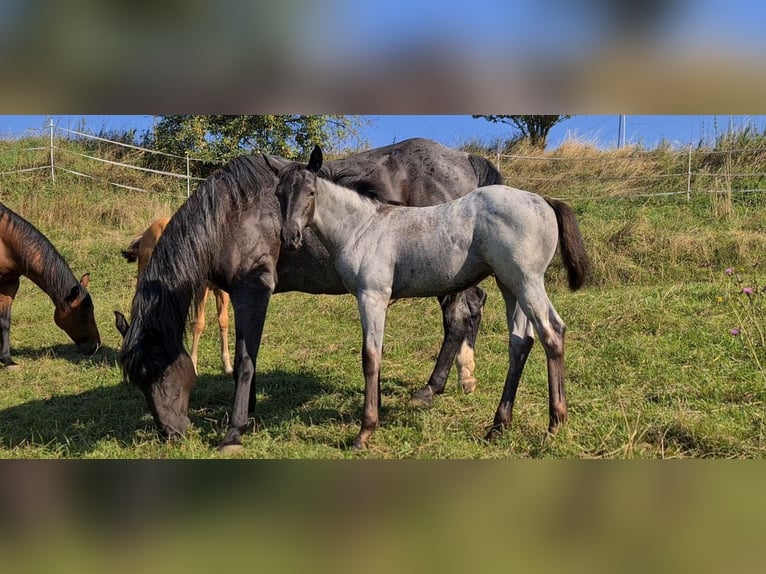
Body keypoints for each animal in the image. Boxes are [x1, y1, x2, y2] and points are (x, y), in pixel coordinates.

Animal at [0, 200, 101, 368]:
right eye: (83, 315)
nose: (96, 346)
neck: (5, 242)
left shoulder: (10, 282)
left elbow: (5, 321)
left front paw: (7, 359)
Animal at [120, 218, 232, 376]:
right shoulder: (200, 288)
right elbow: (198, 323)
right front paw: (193, 365)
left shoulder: (221, 291)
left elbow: (223, 321)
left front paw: (227, 365)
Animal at [278, 146, 592, 452]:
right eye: (280, 193)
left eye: (311, 192)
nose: (290, 237)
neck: (364, 226)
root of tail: (543, 200)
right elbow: (377, 354)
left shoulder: (372, 295)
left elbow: (370, 357)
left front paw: (365, 433)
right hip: (510, 284)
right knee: (520, 342)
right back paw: (498, 426)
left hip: (527, 281)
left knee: (552, 333)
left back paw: (554, 427)